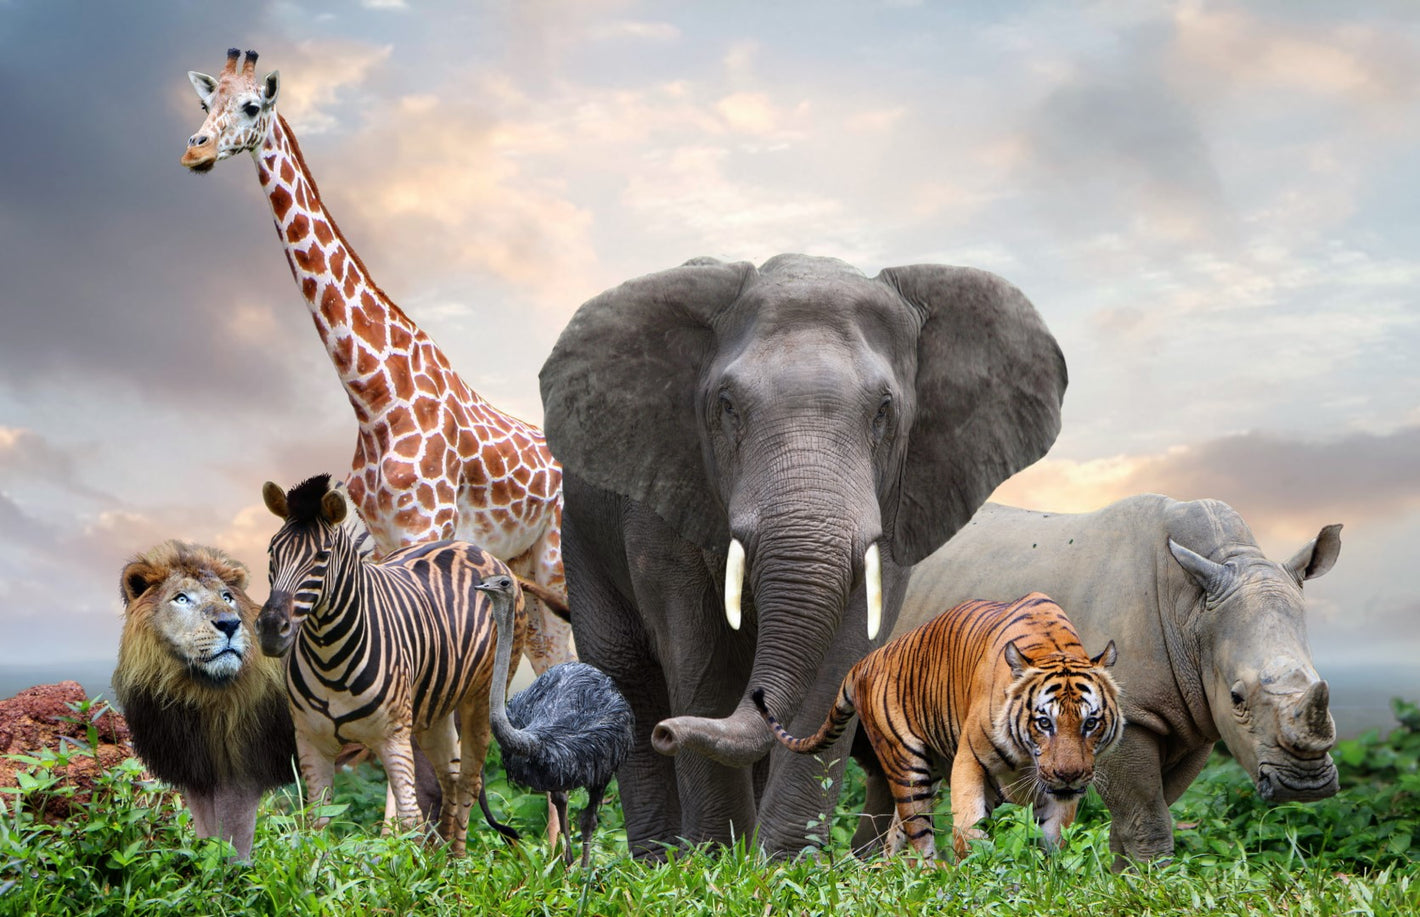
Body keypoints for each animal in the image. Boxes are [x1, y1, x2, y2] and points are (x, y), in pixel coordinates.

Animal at [255, 473, 526, 855]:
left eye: (322, 557)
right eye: (272, 552)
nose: (269, 629)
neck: (329, 656)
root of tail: (470, 546)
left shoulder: (392, 737)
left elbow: (408, 819)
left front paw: (407, 867)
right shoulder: (311, 740)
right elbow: (317, 824)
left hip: (482, 698)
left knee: (469, 781)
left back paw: (457, 861)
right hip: (433, 710)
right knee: (449, 776)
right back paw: (442, 858)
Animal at [538, 253, 1067, 857]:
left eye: (884, 411)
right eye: (726, 407)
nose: (669, 734)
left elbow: (841, 655)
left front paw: (780, 862)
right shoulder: (663, 497)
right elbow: (700, 657)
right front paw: (715, 858)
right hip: (580, 536)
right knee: (627, 675)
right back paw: (657, 856)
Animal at [753, 592, 1122, 860]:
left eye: (1090, 723)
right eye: (1044, 723)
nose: (1069, 775)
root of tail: (865, 660)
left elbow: (1055, 838)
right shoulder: (970, 760)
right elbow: (969, 828)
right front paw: (977, 870)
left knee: (895, 838)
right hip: (907, 766)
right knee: (920, 836)